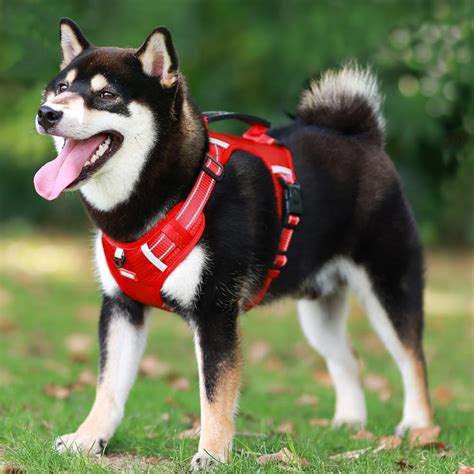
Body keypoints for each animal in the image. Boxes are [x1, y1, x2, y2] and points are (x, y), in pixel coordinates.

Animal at [34, 18, 434, 470]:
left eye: (106, 95)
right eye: (61, 88)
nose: (47, 113)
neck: (169, 193)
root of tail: (364, 139)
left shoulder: (215, 311)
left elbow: (215, 395)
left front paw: (211, 454)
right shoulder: (121, 306)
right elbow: (108, 387)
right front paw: (89, 439)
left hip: (390, 287)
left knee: (413, 359)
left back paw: (419, 428)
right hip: (319, 312)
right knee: (348, 359)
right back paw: (350, 422)